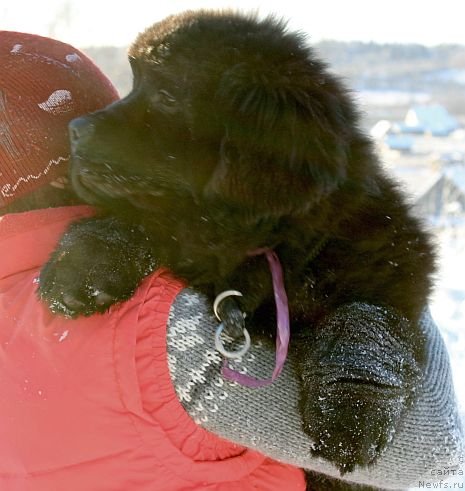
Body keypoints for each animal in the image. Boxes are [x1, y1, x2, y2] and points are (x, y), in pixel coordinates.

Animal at [39, 9, 436, 482]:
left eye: (167, 95)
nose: (74, 130)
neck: (264, 241)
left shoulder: (394, 272)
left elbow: (366, 320)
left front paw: (352, 411)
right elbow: (141, 219)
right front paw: (83, 265)